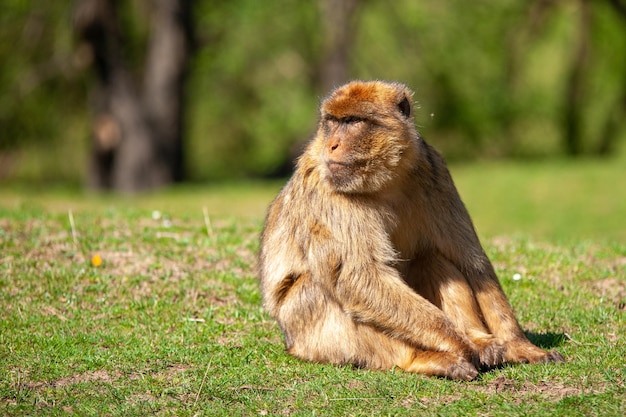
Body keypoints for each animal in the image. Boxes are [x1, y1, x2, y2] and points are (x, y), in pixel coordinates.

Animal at [256, 79, 564, 378]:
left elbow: (472, 261)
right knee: (319, 288)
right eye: (332, 121)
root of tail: (291, 344)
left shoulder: (434, 169)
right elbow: (360, 279)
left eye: (353, 121)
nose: (331, 144)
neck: (385, 179)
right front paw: (461, 344)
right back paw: (423, 359)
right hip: (309, 336)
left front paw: (517, 345)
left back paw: (478, 338)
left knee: (431, 259)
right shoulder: (327, 190)